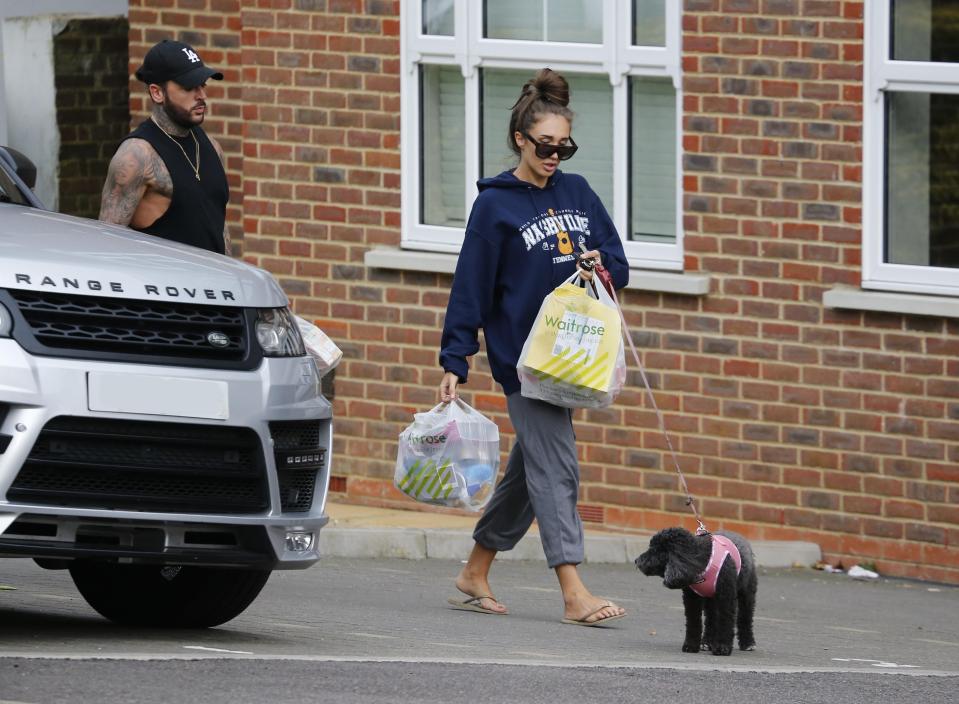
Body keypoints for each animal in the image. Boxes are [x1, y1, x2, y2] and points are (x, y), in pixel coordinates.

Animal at [636, 528, 756, 656]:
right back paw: (707, 642)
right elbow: (693, 622)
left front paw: (722, 647)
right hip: (711, 599)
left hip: (746, 592)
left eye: (654, 549)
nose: (636, 561)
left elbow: (725, 620)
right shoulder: (691, 598)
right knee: (711, 619)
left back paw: (748, 643)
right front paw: (691, 646)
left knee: (745, 617)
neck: (701, 561)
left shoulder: (726, 597)